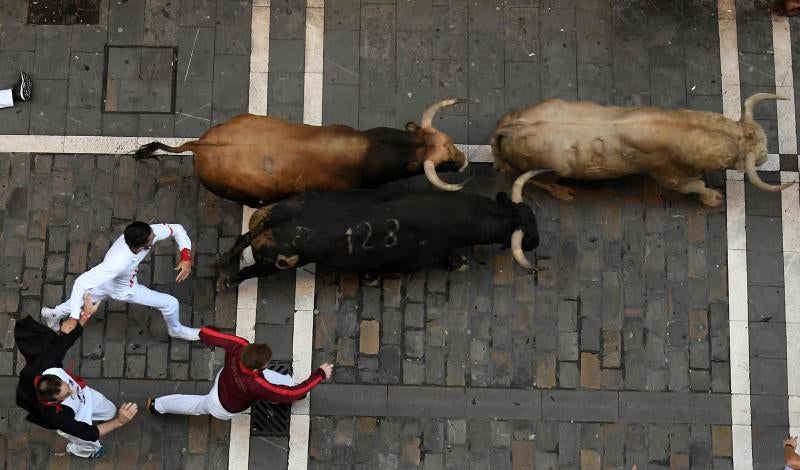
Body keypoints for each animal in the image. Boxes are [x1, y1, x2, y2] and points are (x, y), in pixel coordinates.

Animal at [214, 173, 544, 290]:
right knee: (248, 272)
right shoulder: (411, 263)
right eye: (524, 229)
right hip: (274, 264)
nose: (537, 240)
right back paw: (227, 281)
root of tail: (279, 216)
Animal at [488, 94, 792, 206]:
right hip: (548, 169)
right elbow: (694, 186)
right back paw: (564, 192)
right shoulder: (670, 178)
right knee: (538, 181)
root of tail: (510, 127)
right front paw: (713, 197)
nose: (766, 155)